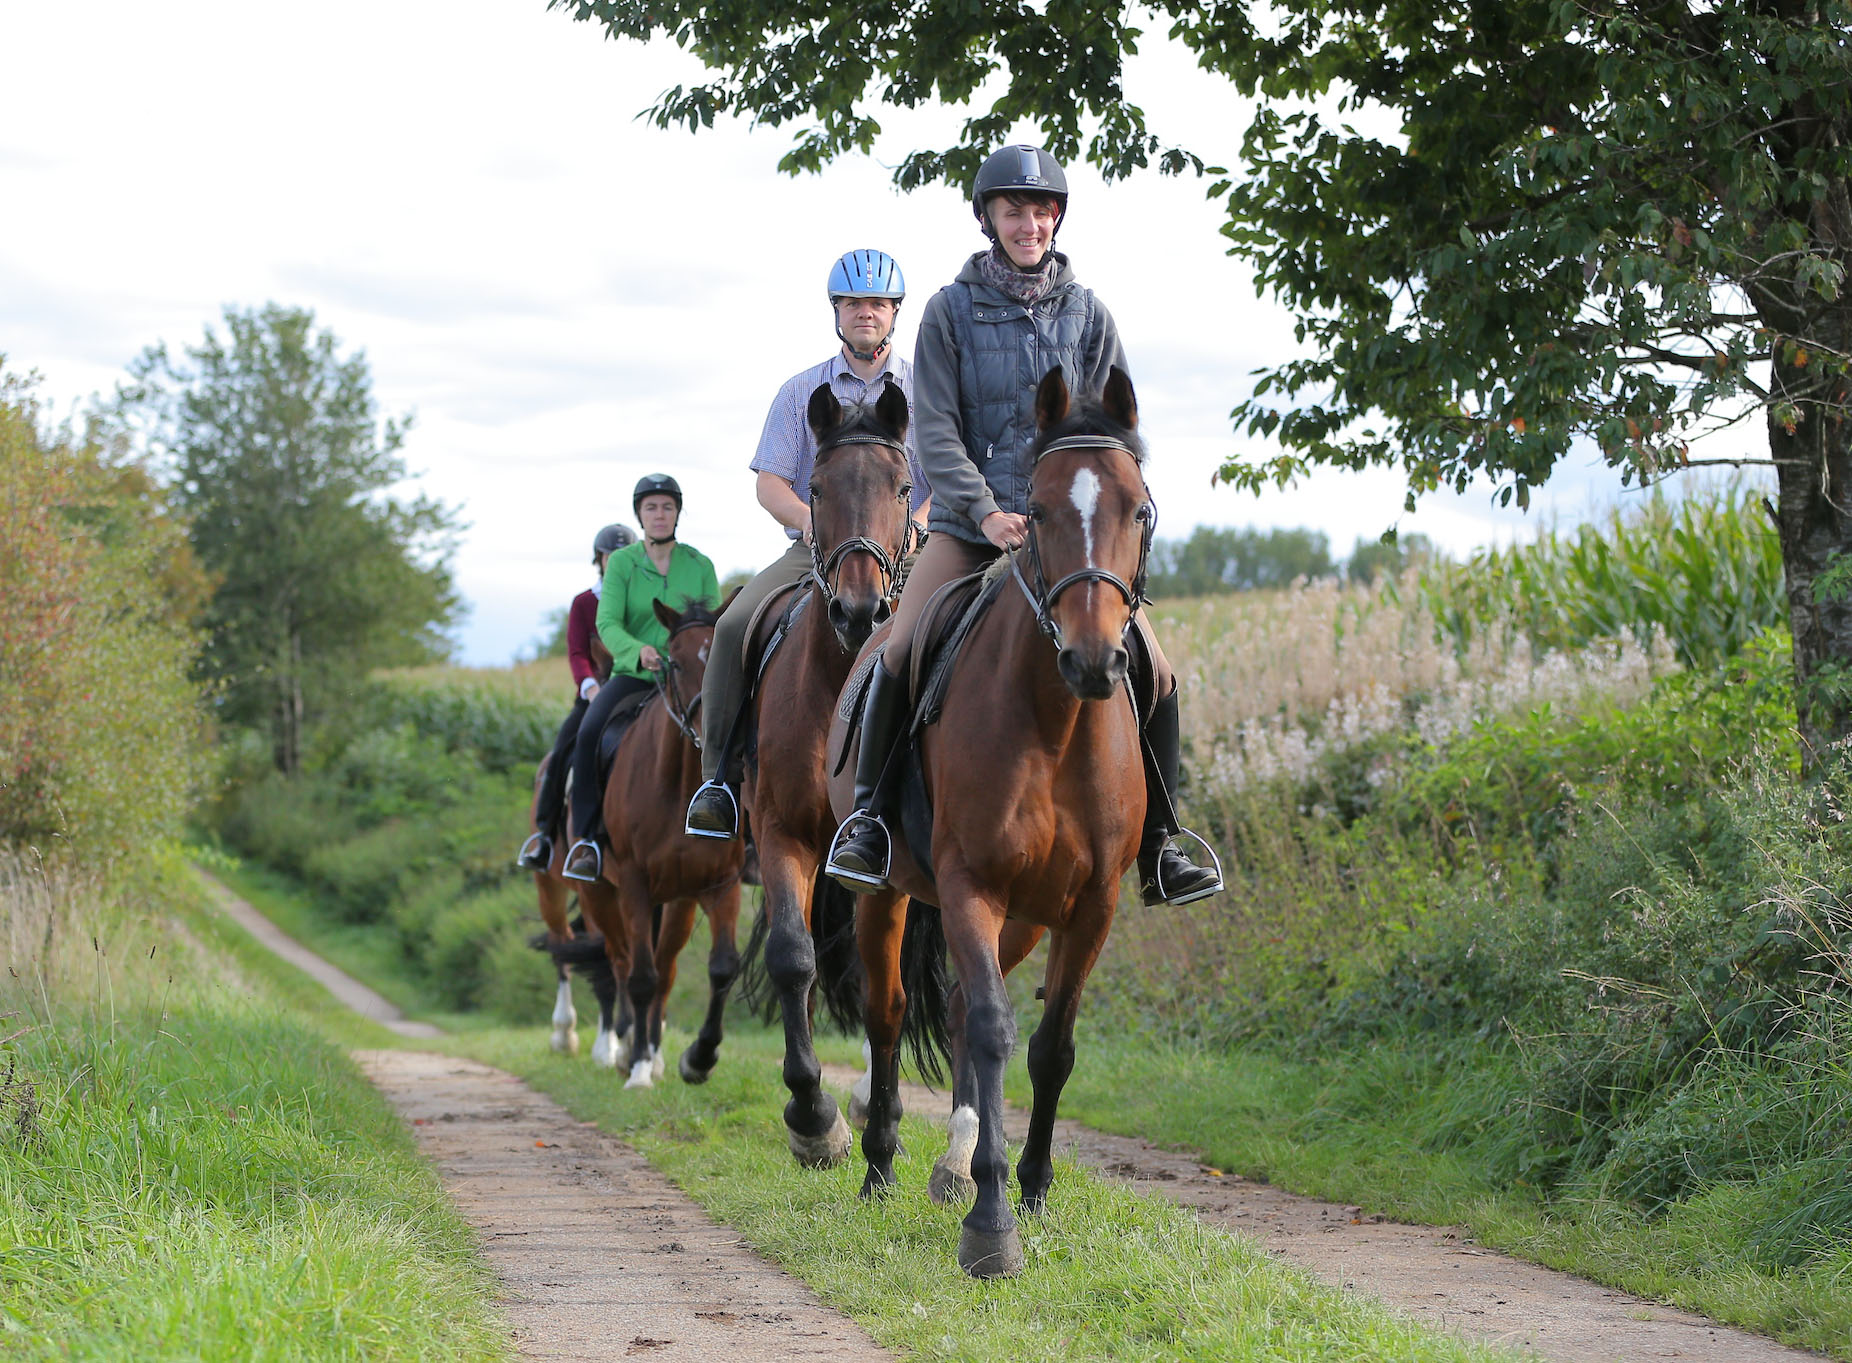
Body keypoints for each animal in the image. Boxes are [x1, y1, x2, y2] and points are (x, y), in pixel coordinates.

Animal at [592, 596, 737, 1088]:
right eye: (674, 661)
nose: (712, 730)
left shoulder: (720, 883)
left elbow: (722, 967)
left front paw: (700, 1059)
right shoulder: (634, 884)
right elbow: (640, 978)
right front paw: (636, 1068)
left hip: (677, 900)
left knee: (667, 969)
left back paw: (652, 1052)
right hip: (602, 895)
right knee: (622, 963)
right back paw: (622, 1050)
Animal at [744, 377, 948, 1162]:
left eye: (902, 486)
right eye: (818, 488)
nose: (859, 611)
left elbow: (881, 986)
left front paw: (855, 1116)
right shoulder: (781, 831)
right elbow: (792, 958)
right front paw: (811, 1117)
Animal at [829, 364, 1148, 1274]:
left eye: (1139, 509)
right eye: (1034, 510)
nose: (1093, 658)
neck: (1057, 718)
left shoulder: (1091, 906)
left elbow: (1048, 1044)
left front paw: (1031, 1190)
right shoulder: (971, 884)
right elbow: (992, 1028)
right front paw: (991, 1222)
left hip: (1024, 918)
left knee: (966, 1008)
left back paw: (952, 1162)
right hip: (888, 895)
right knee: (893, 1011)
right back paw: (882, 1167)